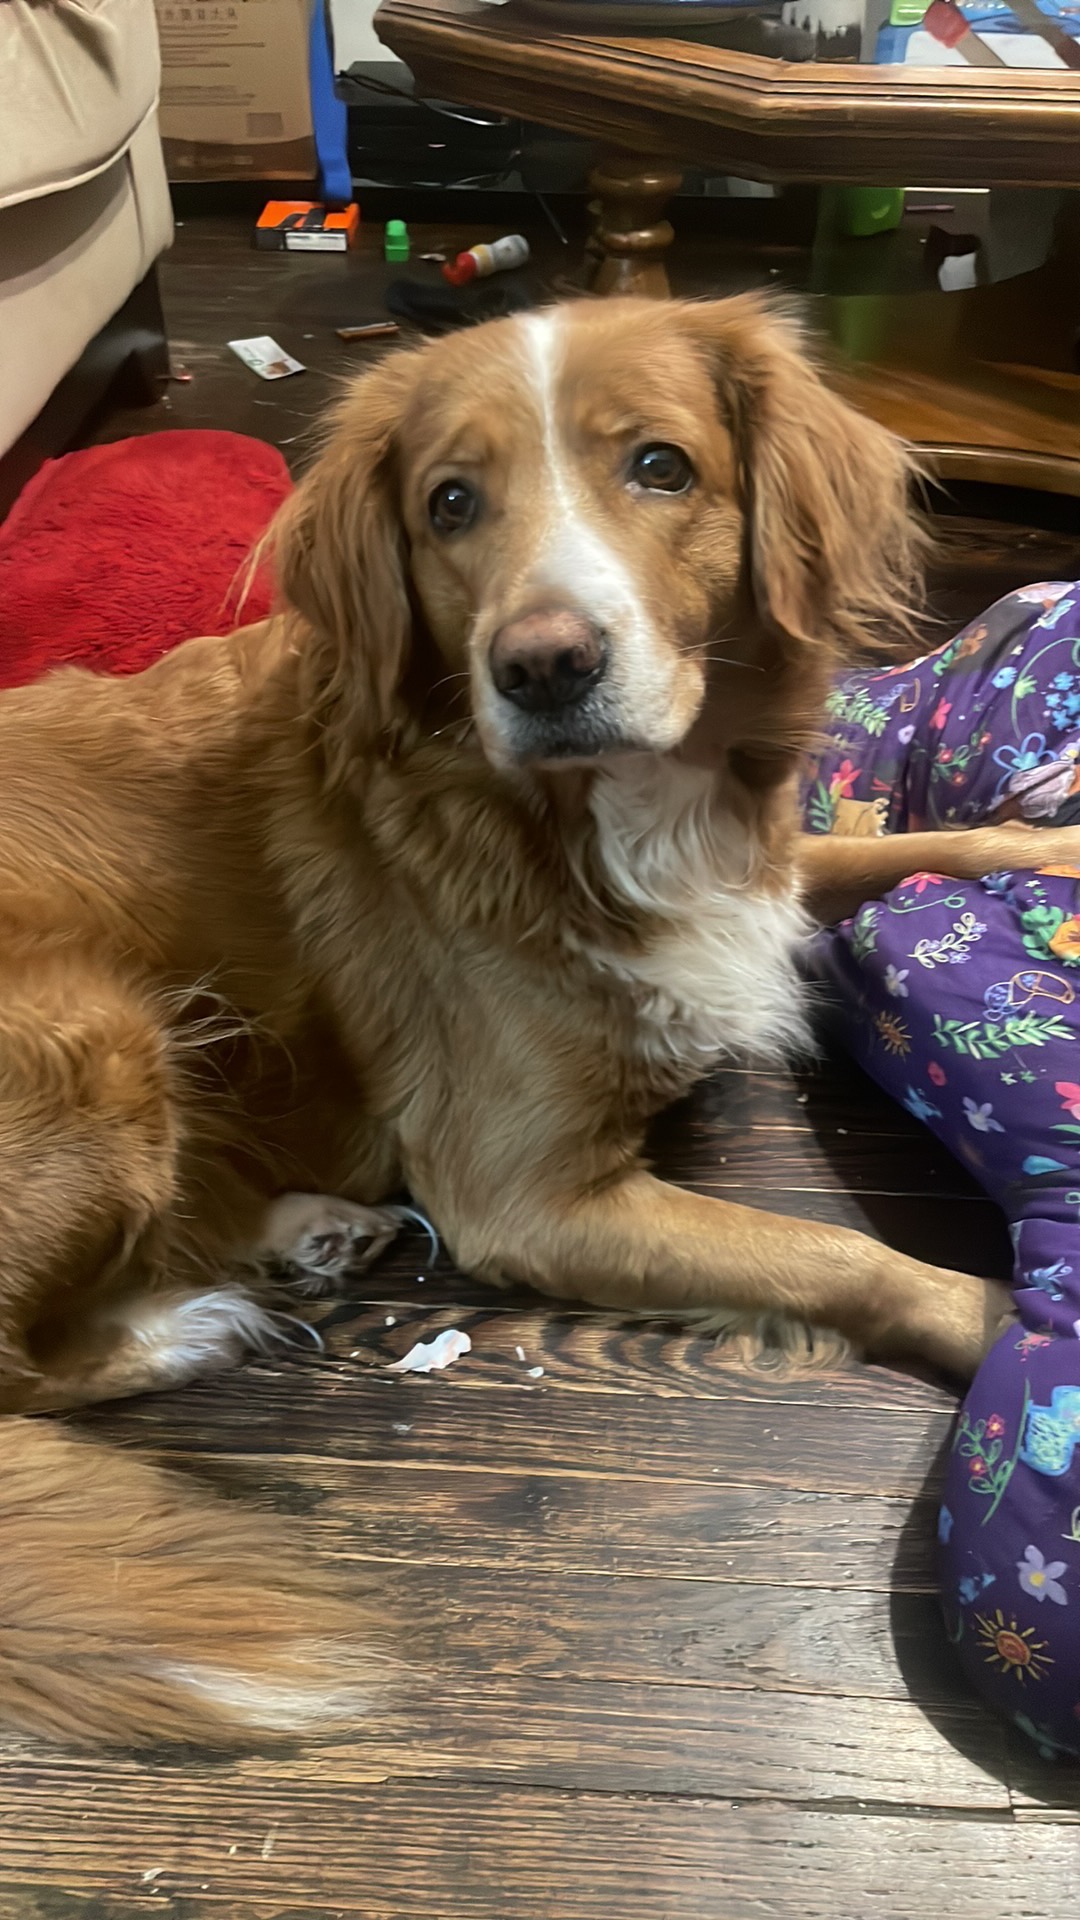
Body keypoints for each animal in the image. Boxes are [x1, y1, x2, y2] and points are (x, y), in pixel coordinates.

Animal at [1, 294, 1069, 1748]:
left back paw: (303, 1227)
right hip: (101, 1034)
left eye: (663, 467)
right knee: (19, 1367)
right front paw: (1002, 1320)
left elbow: (905, 844)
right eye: (450, 504)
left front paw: (1058, 844)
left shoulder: (765, 881)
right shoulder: (528, 1196)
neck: (607, 815)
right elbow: (841, 1257)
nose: (544, 666)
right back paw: (194, 1322)